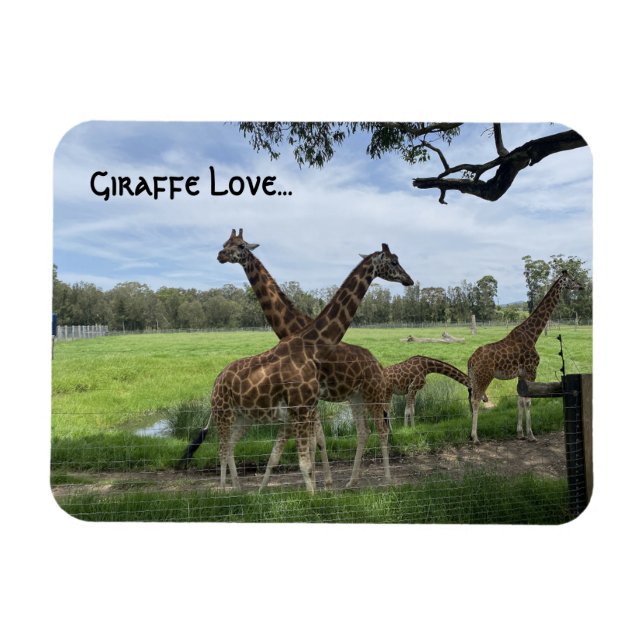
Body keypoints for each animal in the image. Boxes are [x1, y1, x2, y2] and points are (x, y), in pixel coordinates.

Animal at [179, 242, 413, 492]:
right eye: (393, 261)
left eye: (237, 245)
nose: (409, 280)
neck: (303, 334)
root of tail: (378, 364)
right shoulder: (306, 406)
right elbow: (311, 446)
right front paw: (320, 485)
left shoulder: (308, 405)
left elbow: (310, 447)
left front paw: (321, 485)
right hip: (355, 397)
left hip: (371, 394)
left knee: (378, 430)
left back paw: (379, 480)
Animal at [468, 271, 583, 443]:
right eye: (572, 279)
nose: (582, 286)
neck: (533, 335)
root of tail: (470, 360)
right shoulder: (531, 370)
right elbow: (528, 401)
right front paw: (531, 435)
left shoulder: (521, 374)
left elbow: (520, 401)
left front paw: (520, 433)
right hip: (484, 376)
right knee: (475, 400)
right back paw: (475, 438)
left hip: (475, 378)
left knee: (472, 400)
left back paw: (472, 435)